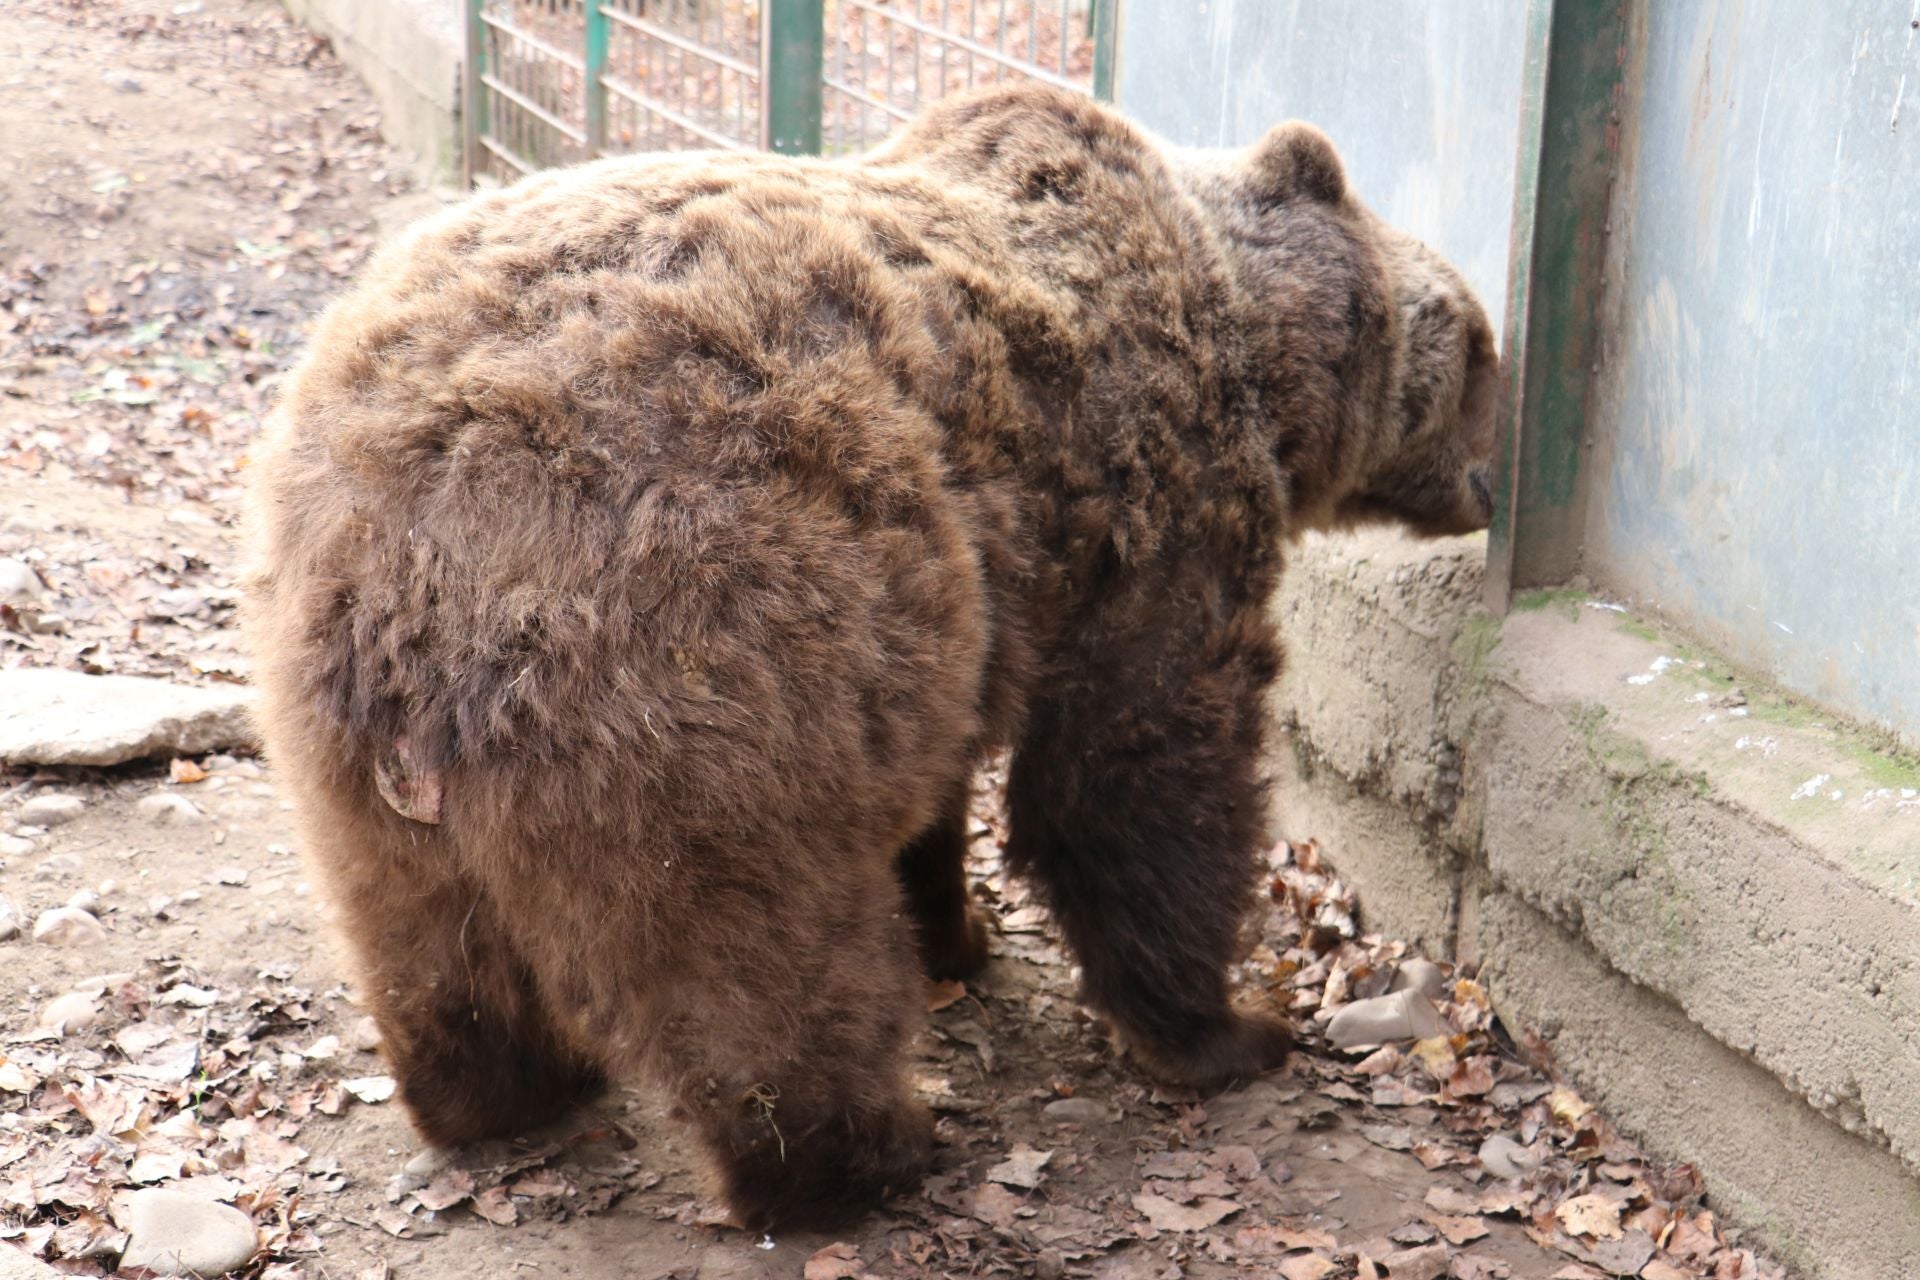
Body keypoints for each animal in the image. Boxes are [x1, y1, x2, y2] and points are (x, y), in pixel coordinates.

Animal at [240, 82, 1497, 1228]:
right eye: (1482, 346)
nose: (1492, 480)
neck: (1256, 349)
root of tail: (421, 538)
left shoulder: (956, 614)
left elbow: (945, 797)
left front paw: (963, 930)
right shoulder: (1146, 513)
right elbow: (1138, 773)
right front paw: (1227, 1027)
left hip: (331, 712)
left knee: (418, 926)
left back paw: (489, 1092)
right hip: (703, 650)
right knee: (757, 949)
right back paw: (856, 1154)